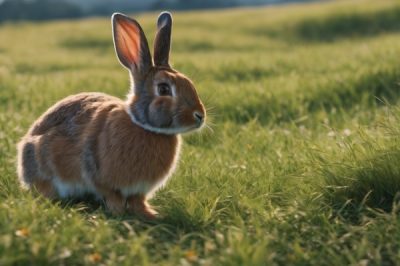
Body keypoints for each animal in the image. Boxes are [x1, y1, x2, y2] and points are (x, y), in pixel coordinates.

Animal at [16, 11, 206, 219]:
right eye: (164, 89)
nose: (200, 116)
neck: (143, 125)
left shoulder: (139, 190)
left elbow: (138, 201)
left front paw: (150, 214)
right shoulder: (100, 177)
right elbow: (112, 197)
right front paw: (118, 213)